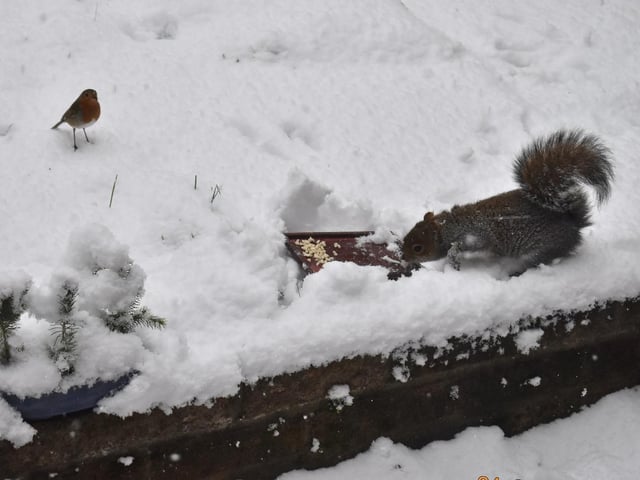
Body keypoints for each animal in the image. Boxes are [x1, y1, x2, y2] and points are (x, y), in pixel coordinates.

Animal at [401, 130, 614, 275]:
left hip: (542, 250)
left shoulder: (475, 234)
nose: (403, 258)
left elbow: (467, 244)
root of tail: (573, 223)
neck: (447, 225)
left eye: (418, 248)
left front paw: (453, 255)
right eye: (406, 237)